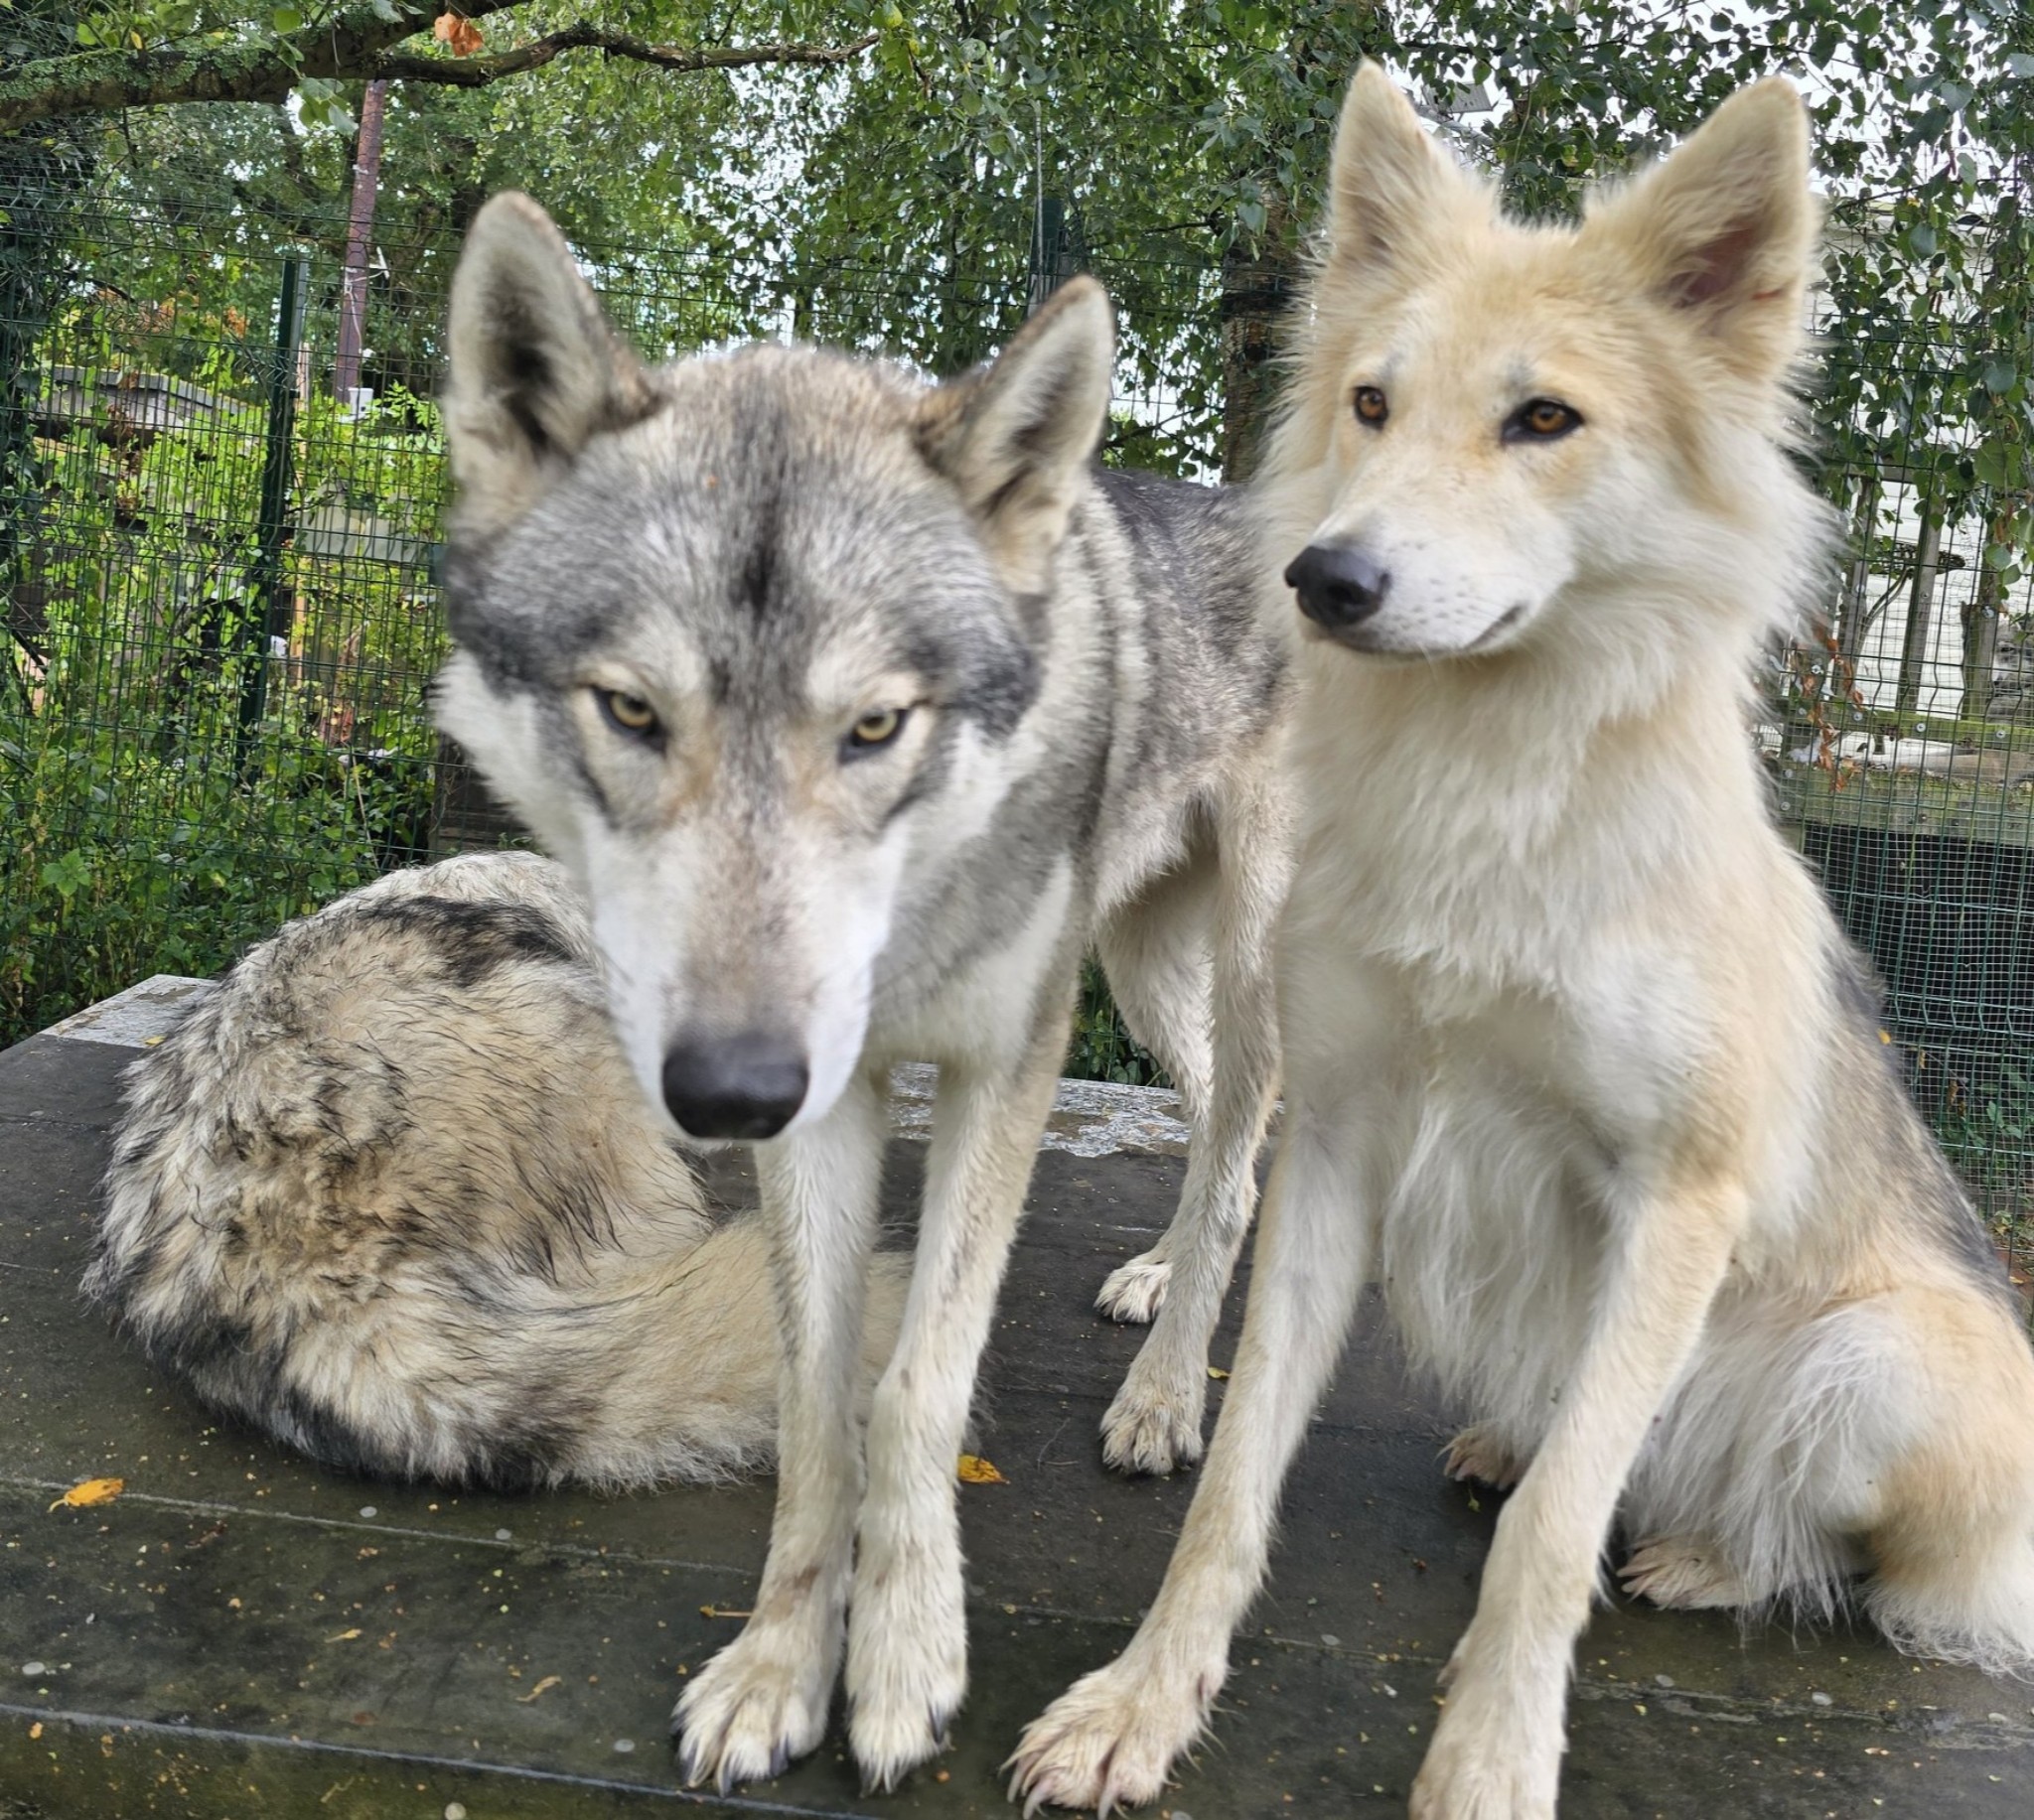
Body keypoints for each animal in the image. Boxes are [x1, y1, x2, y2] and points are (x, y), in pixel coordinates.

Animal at [430, 196, 1292, 1788]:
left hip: (1251, 964)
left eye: (876, 727)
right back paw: (1155, 1291)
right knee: (1221, 1130)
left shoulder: (1000, 1068)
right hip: (1141, 972)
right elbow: (817, 1395)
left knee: (1247, 1129)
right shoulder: (821, 1102)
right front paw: (781, 1666)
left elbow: (914, 1387)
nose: (726, 1090)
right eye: (631, 711)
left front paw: (901, 1666)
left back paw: (1160, 1399)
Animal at [1010, 65, 2034, 1819]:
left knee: (1832, 1553)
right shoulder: (1344, 1145)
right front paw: (1145, 1701)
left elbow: (1557, 1538)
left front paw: (1490, 1758)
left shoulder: (1678, 1204)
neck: (1485, 814)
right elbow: (1237, 1478)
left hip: (1882, 1359)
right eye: (1369, 403)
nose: (1323, 580)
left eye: (1544, 419)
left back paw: (1708, 1552)